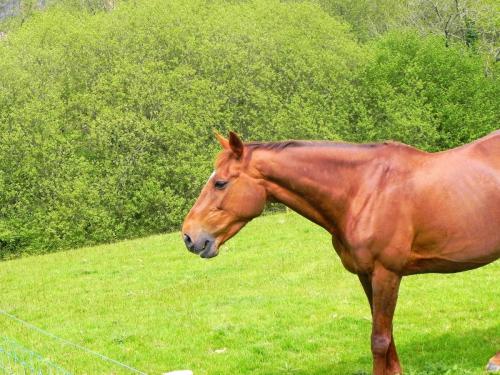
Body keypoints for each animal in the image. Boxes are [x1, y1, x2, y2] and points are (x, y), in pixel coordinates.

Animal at [182, 131, 498, 374]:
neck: (363, 191)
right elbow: (386, 332)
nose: (188, 236)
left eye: (220, 182)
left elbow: (379, 339)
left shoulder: (387, 273)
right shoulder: (366, 274)